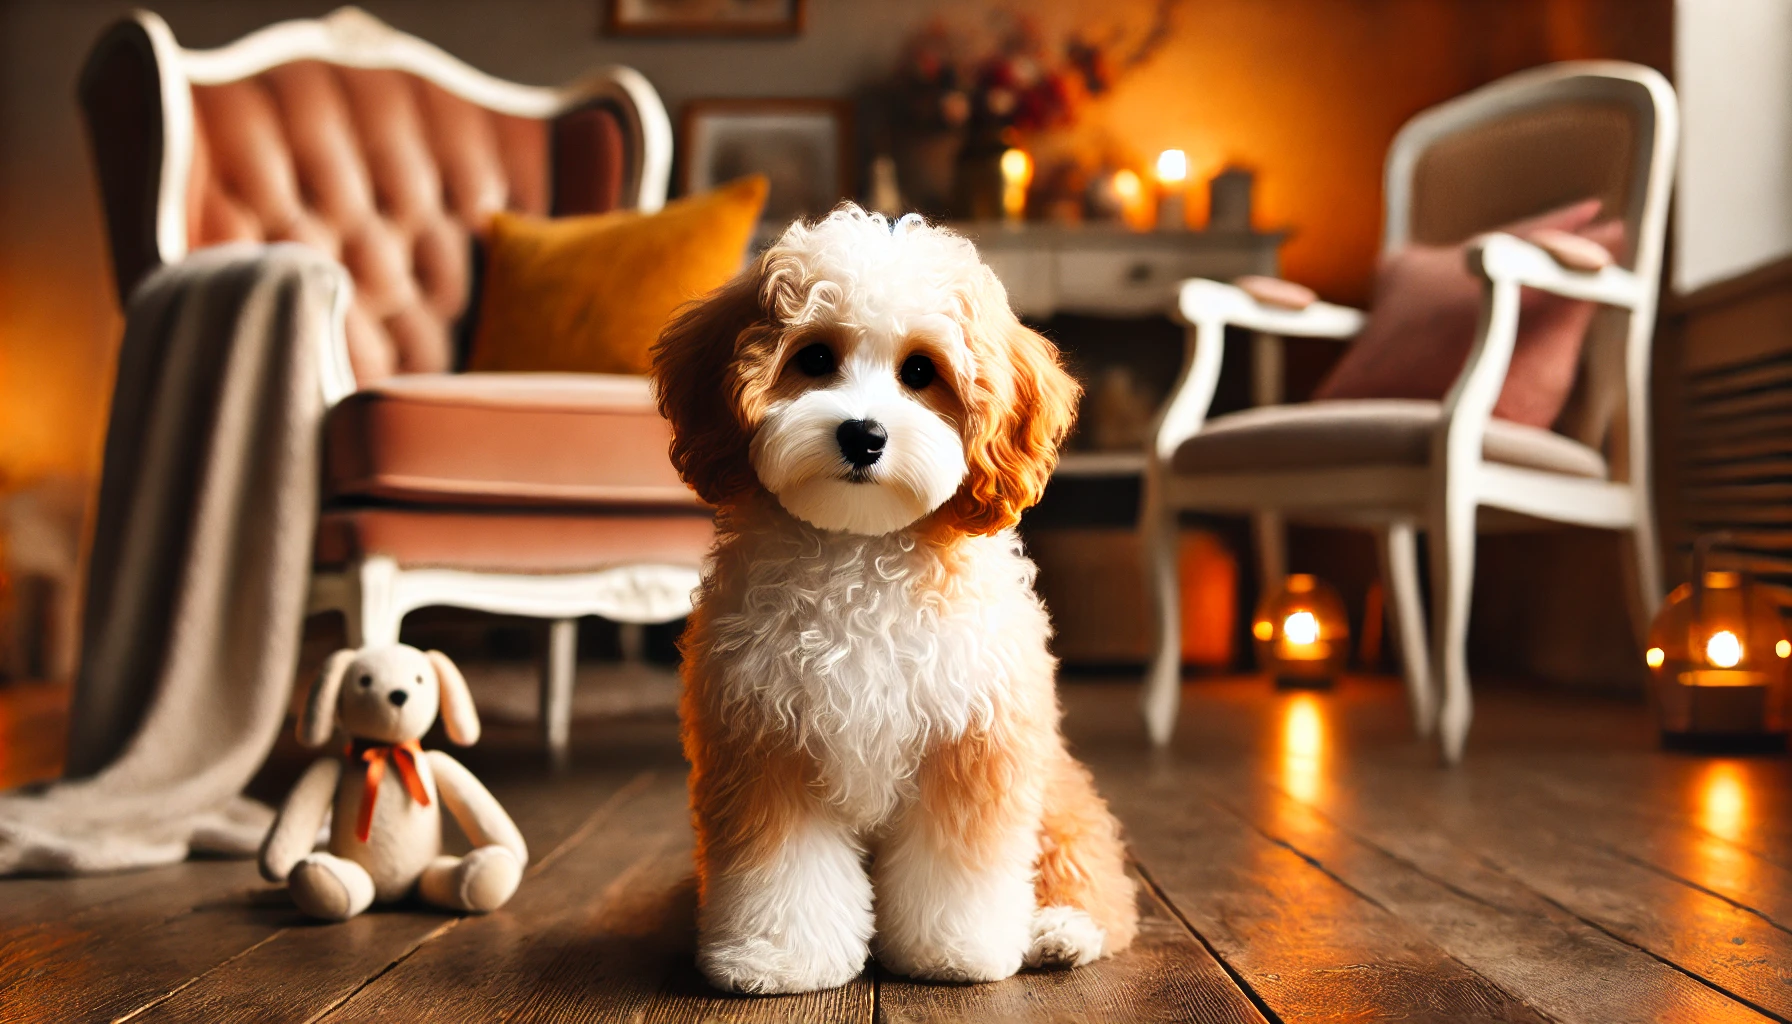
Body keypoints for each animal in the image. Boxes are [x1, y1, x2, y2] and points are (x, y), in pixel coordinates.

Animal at [652, 204, 1139, 997]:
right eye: (815, 357)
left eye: (920, 371)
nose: (864, 434)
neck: (861, 552)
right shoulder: (764, 741)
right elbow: (781, 868)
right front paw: (779, 958)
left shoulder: (972, 741)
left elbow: (959, 866)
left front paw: (956, 950)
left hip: (1058, 795)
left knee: (1098, 881)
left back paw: (1060, 932)